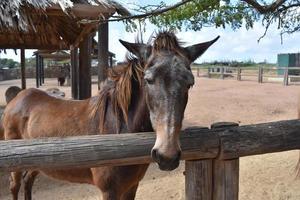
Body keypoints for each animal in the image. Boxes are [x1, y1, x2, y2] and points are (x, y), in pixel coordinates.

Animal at [1, 30, 219, 198]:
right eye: (148, 79)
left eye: (190, 83)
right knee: (15, 186)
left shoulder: (132, 186)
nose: (167, 155)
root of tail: (18, 98)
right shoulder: (109, 191)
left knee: (28, 181)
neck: (118, 129)